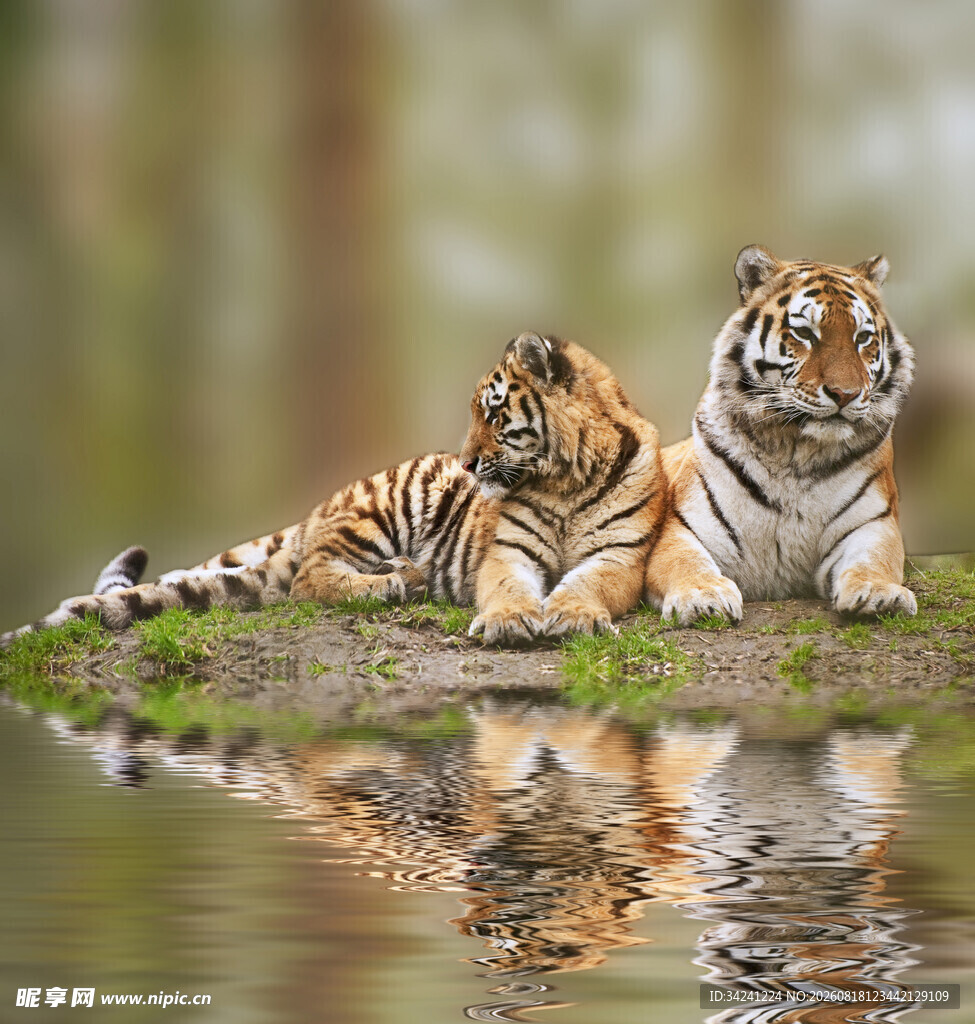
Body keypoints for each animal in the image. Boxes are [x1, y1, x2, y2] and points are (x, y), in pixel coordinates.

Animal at [3, 333, 663, 647]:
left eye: (494, 415)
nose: (468, 462)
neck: (566, 478)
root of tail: (318, 509)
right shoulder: (508, 553)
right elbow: (505, 588)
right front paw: (508, 621)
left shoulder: (620, 557)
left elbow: (589, 585)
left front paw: (573, 617)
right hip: (386, 505)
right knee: (307, 579)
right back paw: (399, 580)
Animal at [644, 245, 917, 626]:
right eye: (804, 333)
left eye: (863, 338)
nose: (845, 394)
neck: (794, 452)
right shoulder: (684, 528)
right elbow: (686, 562)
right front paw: (702, 597)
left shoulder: (873, 524)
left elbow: (874, 560)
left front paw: (880, 593)